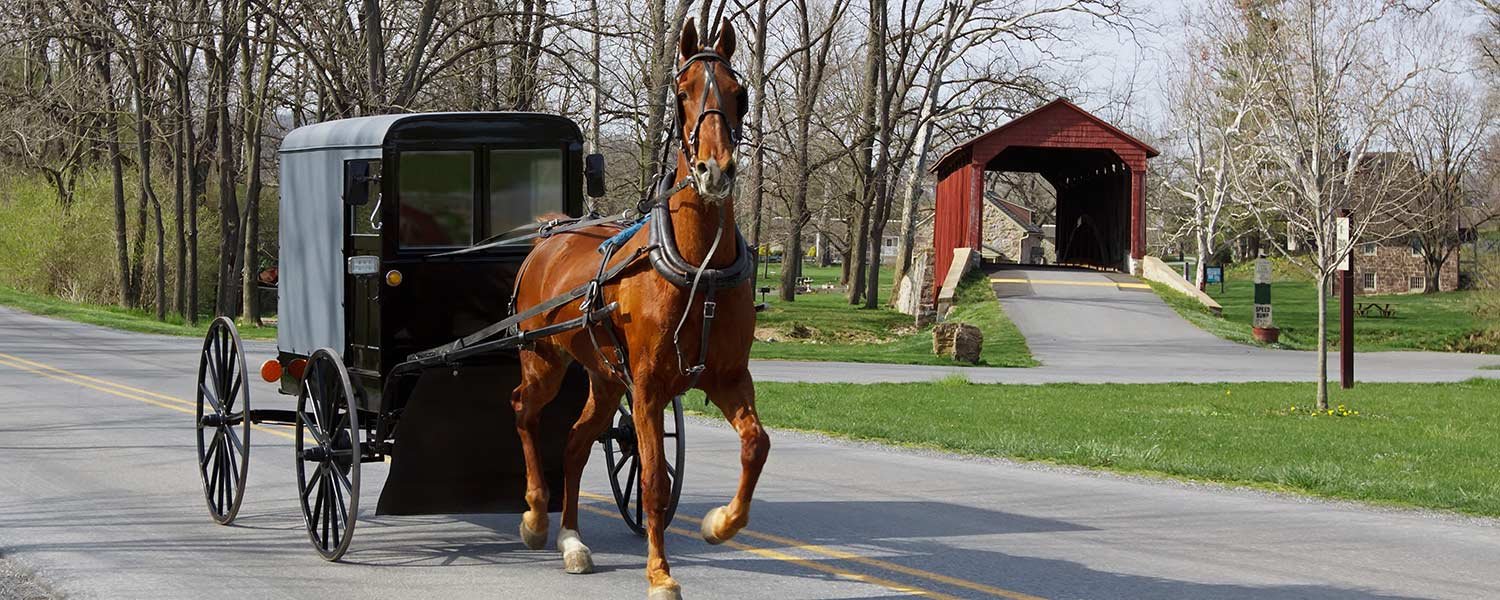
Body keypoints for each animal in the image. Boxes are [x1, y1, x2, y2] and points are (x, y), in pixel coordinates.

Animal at [507, 18, 762, 600]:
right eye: (683, 92)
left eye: (738, 93)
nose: (716, 171)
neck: (698, 265)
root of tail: (550, 234)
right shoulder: (646, 386)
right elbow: (652, 479)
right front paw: (660, 573)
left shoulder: (728, 376)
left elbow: (755, 446)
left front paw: (721, 524)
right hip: (543, 361)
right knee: (524, 412)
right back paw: (534, 515)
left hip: (603, 378)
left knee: (575, 443)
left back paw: (572, 541)